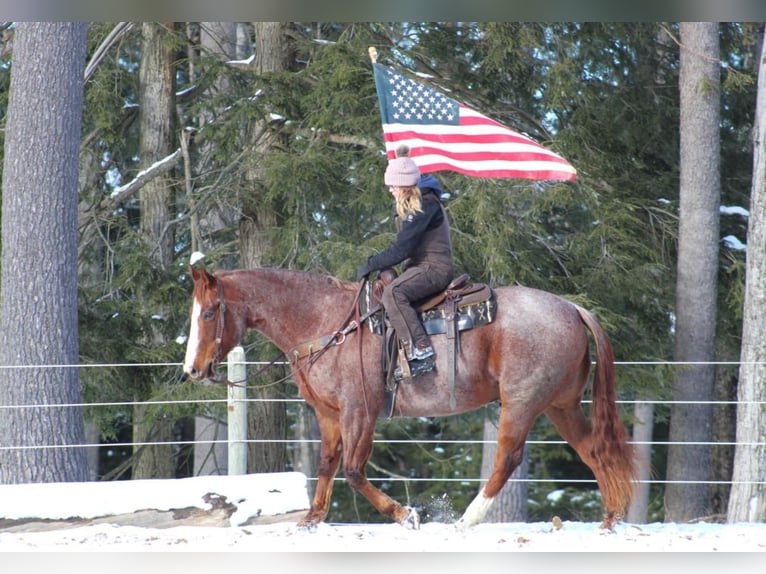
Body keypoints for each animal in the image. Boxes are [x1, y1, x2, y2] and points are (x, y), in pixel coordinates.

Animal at [182, 266, 636, 532]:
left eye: (209, 313)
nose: (192, 370)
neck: (327, 323)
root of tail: (572, 308)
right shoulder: (329, 415)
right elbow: (328, 464)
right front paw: (312, 519)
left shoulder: (359, 412)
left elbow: (354, 471)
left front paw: (406, 514)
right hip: (561, 405)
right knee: (594, 450)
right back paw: (610, 519)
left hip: (522, 402)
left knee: (508, 457)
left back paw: (468, 518)